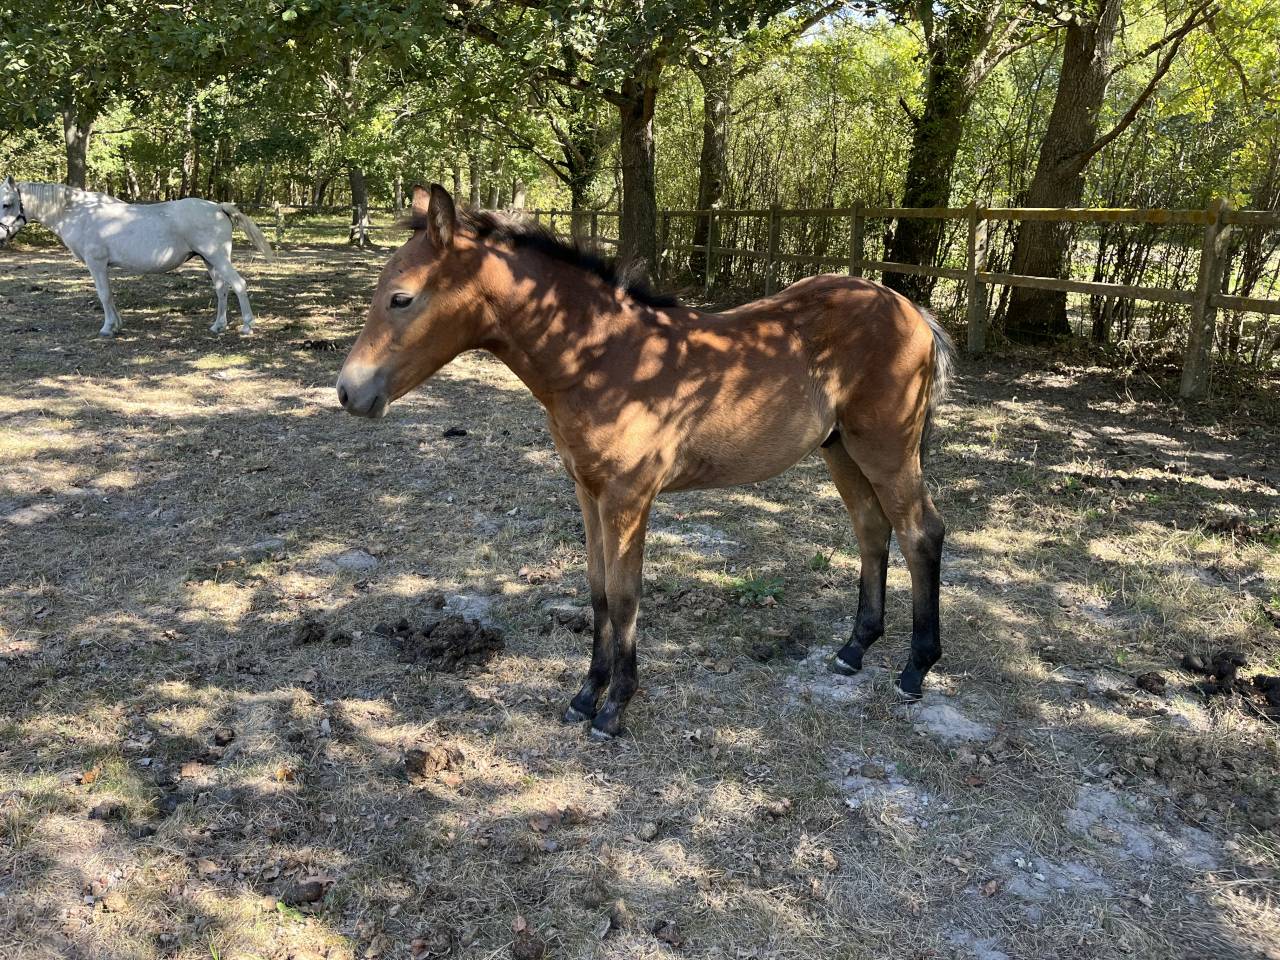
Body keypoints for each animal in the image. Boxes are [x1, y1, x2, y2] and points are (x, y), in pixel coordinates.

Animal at [0, 176, 273, 336]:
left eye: (6, 204)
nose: (1, 235)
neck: (79, 213)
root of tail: (218, 207)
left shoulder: (96, 263)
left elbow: (104, 294)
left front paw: (107, 328)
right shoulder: (103, 266)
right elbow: (110, 295)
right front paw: (117, 323)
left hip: (217, 258)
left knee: (238, 284)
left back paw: (247, 326)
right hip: (210, 260)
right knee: (222, 289)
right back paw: (218, 326)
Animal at [336, 184, 954, 740]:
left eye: (402, 298)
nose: (348, 392)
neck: (603, 357)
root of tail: (911, 311)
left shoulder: (629, 498)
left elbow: (626, 594)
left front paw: (615, 708)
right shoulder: (587, 491)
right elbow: (597, 590)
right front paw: (586, 695)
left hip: (887, 447)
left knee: (920, 532)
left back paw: (915, 669)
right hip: (842, 449)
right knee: (872, 530)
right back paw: (854, 649)